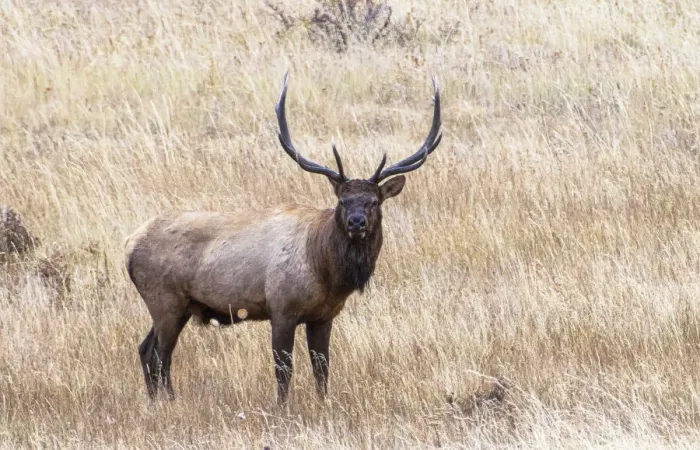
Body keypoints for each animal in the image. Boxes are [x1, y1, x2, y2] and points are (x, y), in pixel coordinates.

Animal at [124, 73, 442, 404]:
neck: (326, 272)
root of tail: (128, 245)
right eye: (342, 200)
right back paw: (168, 402)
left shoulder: (324, 315)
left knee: (147, 349)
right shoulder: (281, 307)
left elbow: (322, 367)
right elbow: (283, 369)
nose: (357, 222)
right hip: (165, 300)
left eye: (374, 201)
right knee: (159, 353)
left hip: (179, 306)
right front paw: (282, 406)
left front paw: (323, 403)